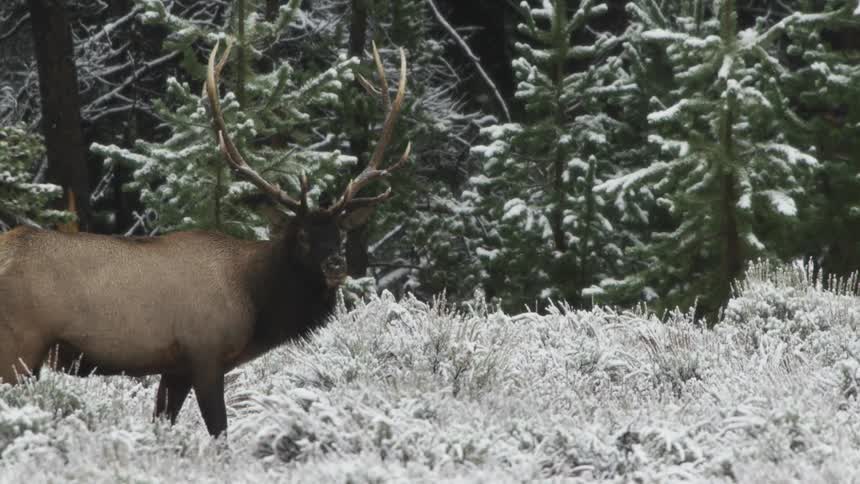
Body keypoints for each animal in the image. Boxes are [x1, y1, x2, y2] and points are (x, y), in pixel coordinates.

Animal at [0, 42, 410, 437]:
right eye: (303, 236)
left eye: (340, 233)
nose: (336, 265)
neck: (252, 299)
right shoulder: (205, 354)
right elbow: (220, 432)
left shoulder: (175, 367)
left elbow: (162, 424)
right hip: (19, 347)